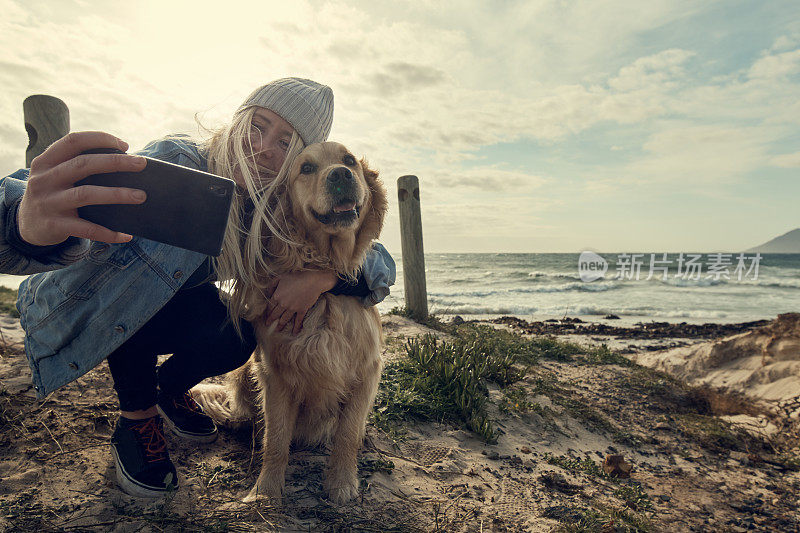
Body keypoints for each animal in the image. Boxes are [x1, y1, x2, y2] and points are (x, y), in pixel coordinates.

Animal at [191, 141, 384, 502]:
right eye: (306, 168)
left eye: (349, 160)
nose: (341, 175)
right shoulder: (277, 374)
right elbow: (277, 439)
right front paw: (265, 492)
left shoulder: (365, 371)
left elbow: (347, 435)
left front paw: (341, 484)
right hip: (244, 371)